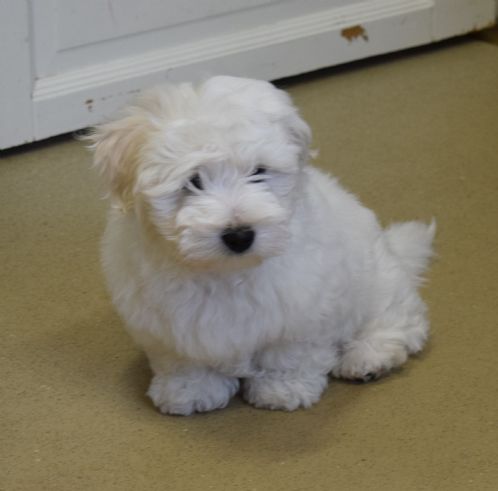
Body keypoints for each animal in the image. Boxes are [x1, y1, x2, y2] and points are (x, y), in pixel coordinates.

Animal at [86, 77, 436, 416]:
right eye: (193, 181)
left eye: (258, 172)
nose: (240, 235)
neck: (225, 272)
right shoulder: (164, 323)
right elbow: (182, 360)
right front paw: (190, 390)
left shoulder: (302, 310)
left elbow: (288, 354)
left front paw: (282, 389)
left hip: (376, 281)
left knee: (398, 318)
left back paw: (368, 356)